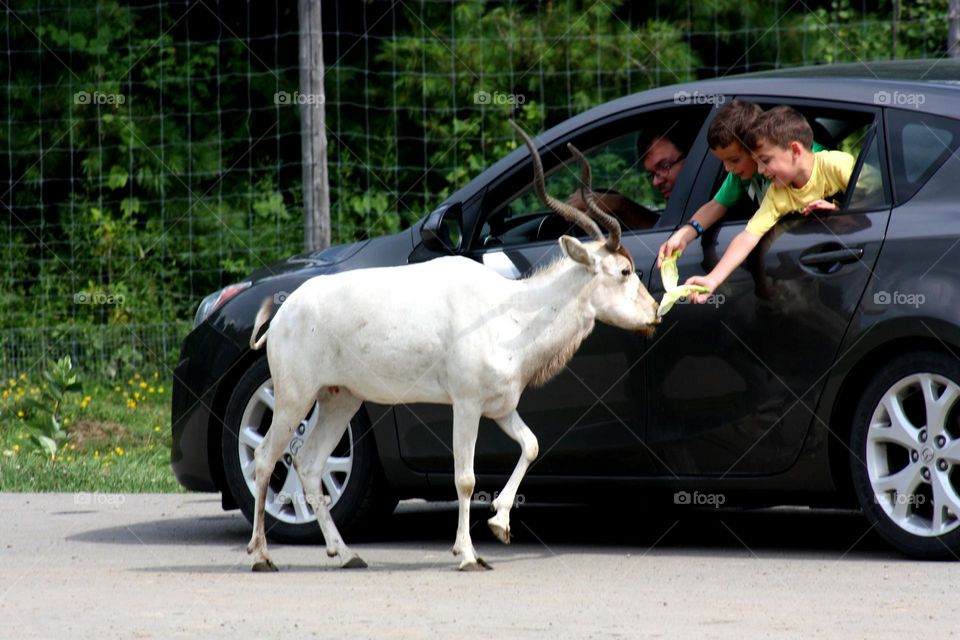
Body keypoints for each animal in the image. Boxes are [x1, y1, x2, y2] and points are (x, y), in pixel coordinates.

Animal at [244, 121, 660, 568]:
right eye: (624, 271)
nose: (655, 311)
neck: (511, 312)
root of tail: (282, 316)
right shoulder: (466, 404)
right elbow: (465, 478)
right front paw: (467, 553)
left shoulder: (500, 407)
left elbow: (531, 446)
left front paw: (500, 524)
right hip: (294, 397)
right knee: (267, 459)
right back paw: (261, 555)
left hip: (341, 399)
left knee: (308, 463)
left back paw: (346, 553)